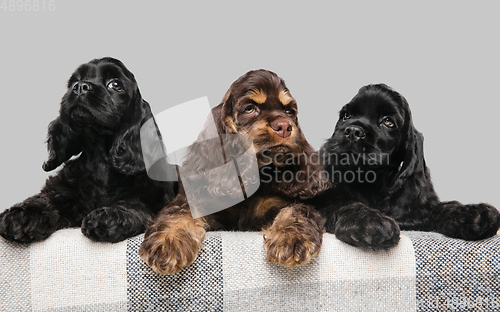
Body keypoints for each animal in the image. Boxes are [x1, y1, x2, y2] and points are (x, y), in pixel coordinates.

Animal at [0, 58, 176, 244]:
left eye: (115, 84)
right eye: (73, 82)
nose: (80, 86)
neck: (100, 162)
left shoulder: (152, 198)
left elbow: (134, 204)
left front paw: (110, 216)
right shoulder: (62, 191)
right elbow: (46, 198)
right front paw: (22, 215)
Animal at [139, 69, 330, 272]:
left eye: (289, 111)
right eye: (249, 109)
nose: (285, 126)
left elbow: (298, 210)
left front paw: (290, 238)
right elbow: (179, 211)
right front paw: (168, 242)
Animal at [312, 84, 500, 250]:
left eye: (388, 121)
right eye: (346, 116)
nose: (352, 131)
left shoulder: (416, 209)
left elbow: (438, 208)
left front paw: (473, 214)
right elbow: (342, 203)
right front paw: (368, 221)